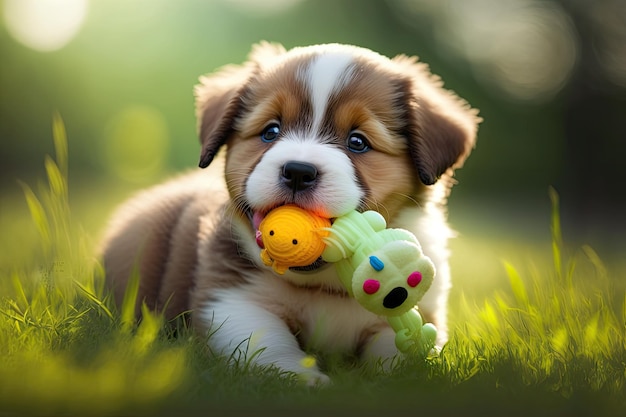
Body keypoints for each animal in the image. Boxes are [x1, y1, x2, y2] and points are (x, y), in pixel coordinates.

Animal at [101, 43, 478, 384]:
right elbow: (266, 341)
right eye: (271, 131)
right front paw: (302, 377)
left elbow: (401, 353)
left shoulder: (420, 311)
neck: (325, 285)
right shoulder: (231, 298)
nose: (298, 171)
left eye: (357, 142)